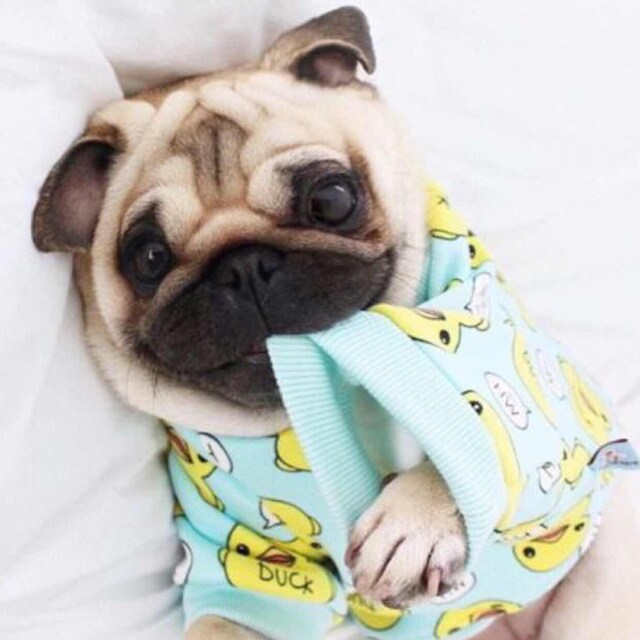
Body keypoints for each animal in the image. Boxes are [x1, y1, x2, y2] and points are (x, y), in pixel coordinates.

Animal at [31, 7, 640, 640]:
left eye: (331, 200)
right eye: (148, 258)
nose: (243, 266)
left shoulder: (524, 380)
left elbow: (473, 425)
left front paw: (413, 521)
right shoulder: (244, 559)